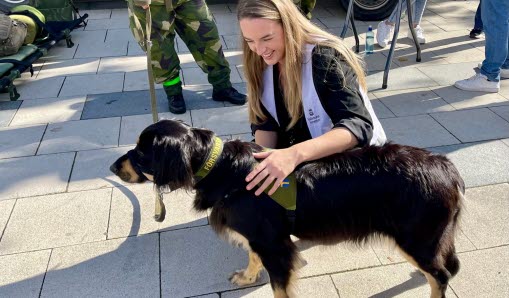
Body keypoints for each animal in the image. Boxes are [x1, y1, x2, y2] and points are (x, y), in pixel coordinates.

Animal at [111, 119, 464, 298]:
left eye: (141, 154)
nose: (113, 167)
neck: (224, 169)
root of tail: (446, 167)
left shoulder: (275, 248)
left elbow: (279, 288)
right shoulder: (262, 238)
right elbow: (252, 256)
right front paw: (247, 276)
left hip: (415, 239)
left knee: (441, 275)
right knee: (445, 268)